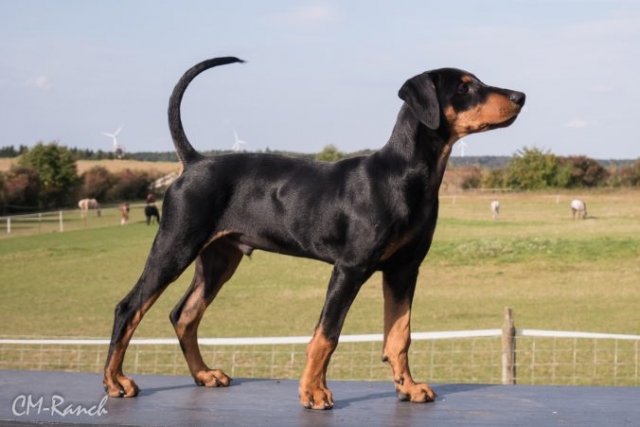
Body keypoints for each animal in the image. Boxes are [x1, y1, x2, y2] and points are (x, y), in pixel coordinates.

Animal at [105, 56, 524, 408]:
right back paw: (115, 381)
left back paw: (204, 374)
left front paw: (408, 387)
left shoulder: (404, 270)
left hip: (219, 260)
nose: (520, 96)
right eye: (464, 87)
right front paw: (313, 392)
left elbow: (399, 334)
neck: (405, 174)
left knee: (184, 314)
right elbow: (327, 334)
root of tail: (193, 162)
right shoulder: (350, 268)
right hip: (175, 245)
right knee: (129, 306)